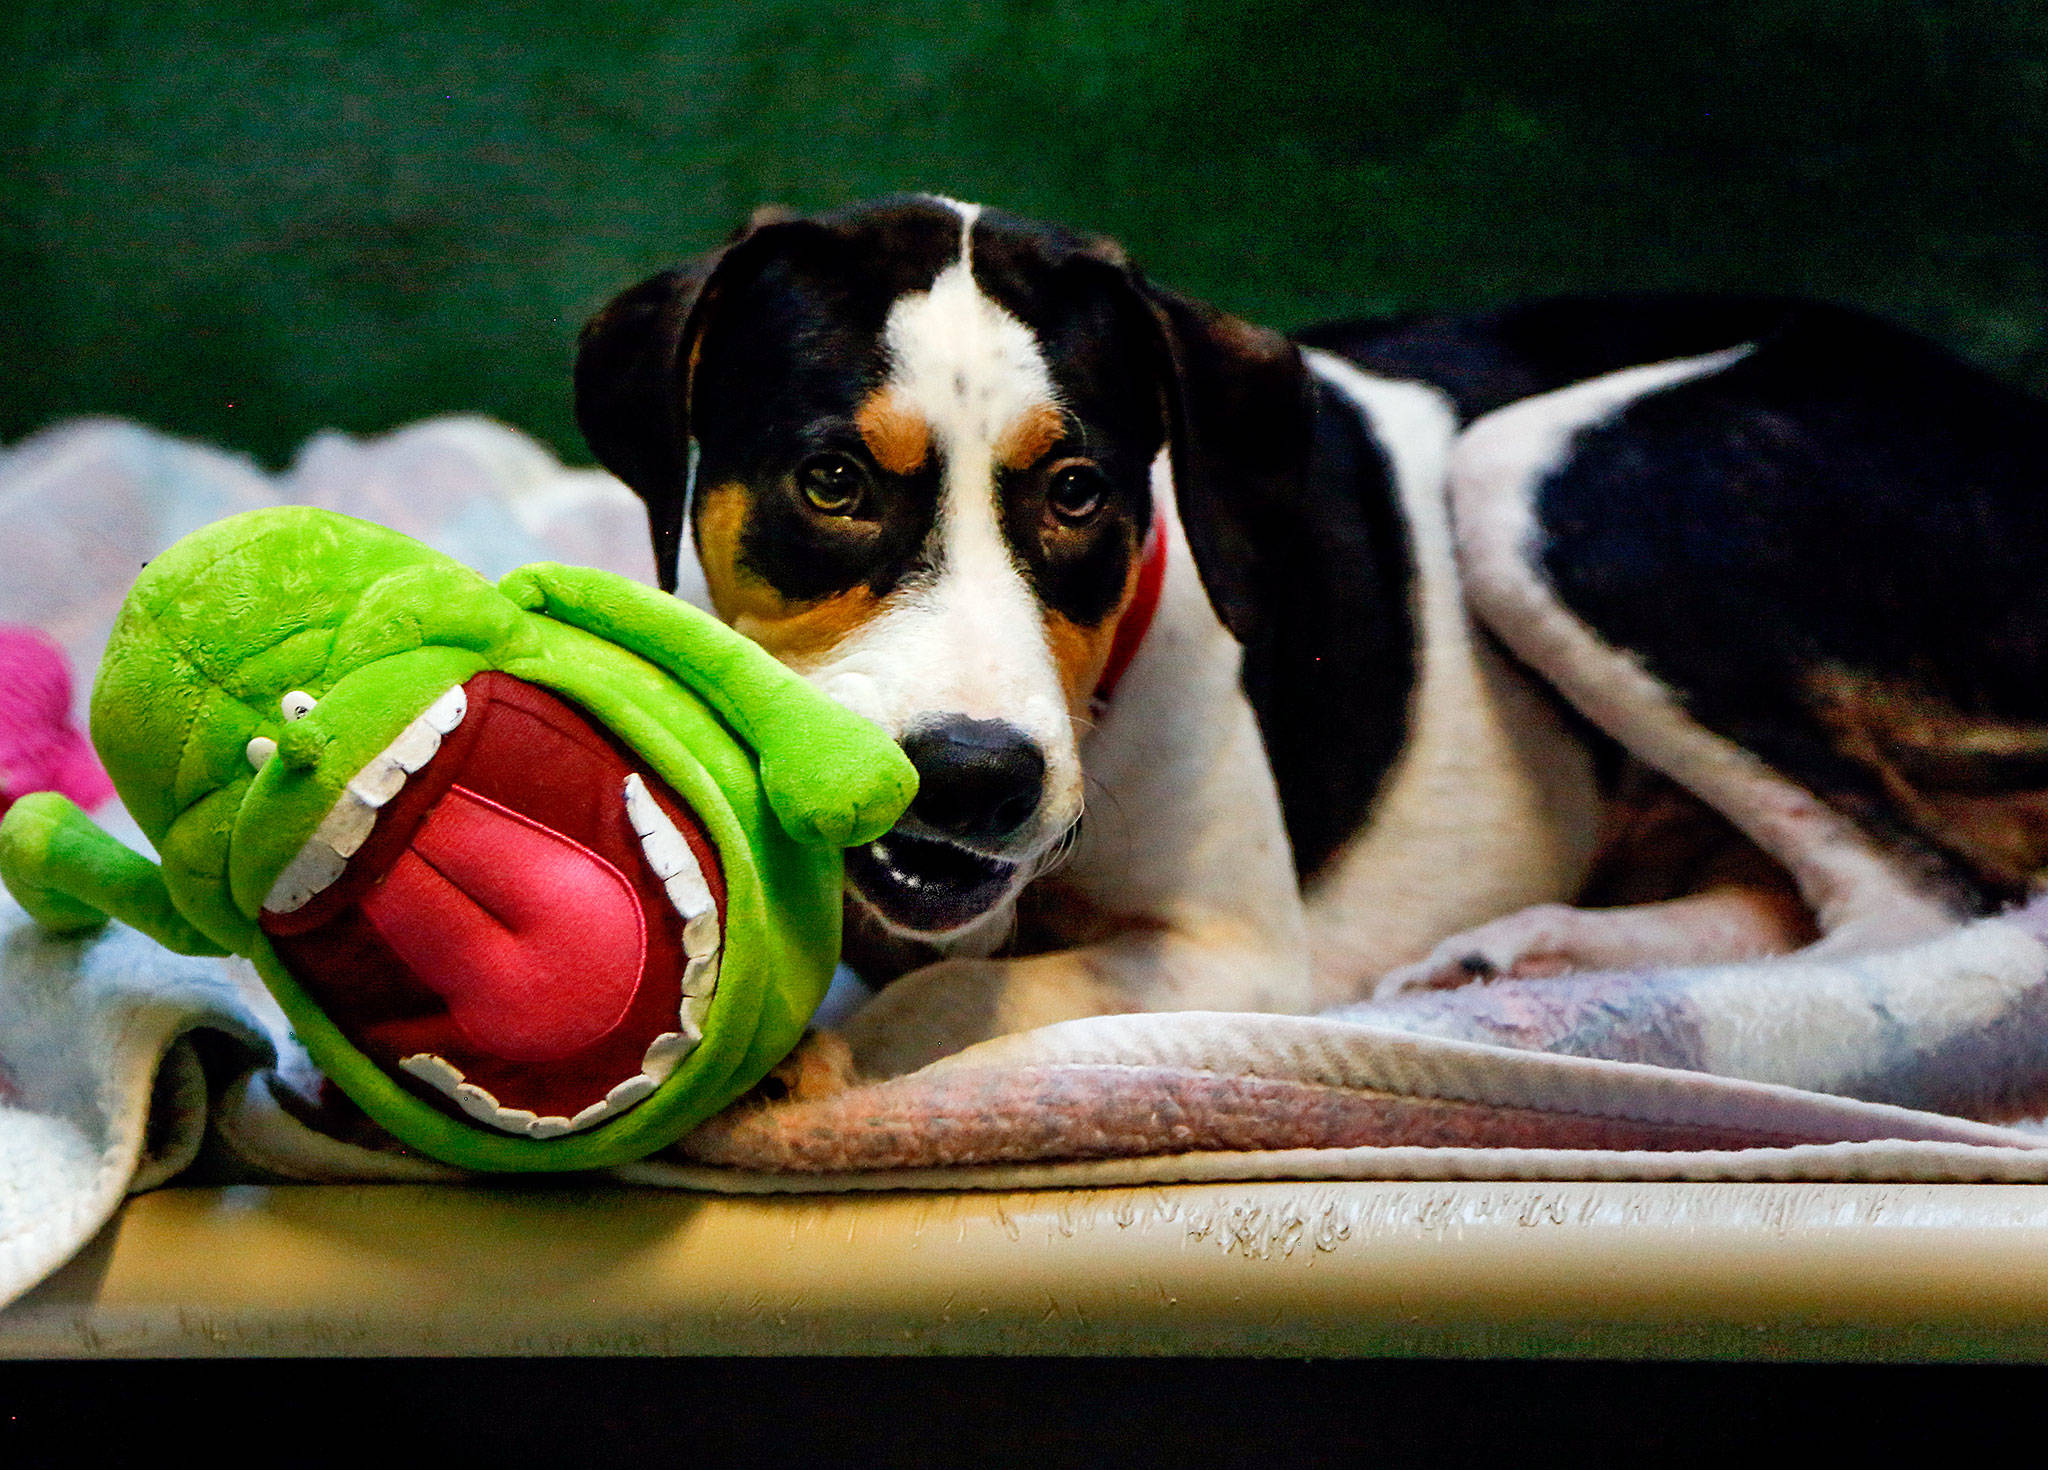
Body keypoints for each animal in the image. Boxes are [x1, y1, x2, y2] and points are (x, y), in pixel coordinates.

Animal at [569, 195, 2048, 1072]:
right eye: (830, 482)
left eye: (1078, 491)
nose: (976, 778)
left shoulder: (1230, 955)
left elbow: (928, 1009)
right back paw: (1535, 952)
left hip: (1541, 479)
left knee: (1910, 907)